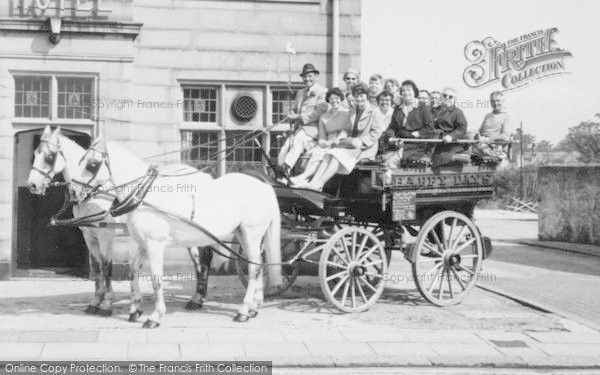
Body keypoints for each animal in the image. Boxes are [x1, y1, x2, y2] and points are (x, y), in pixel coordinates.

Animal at [72, 138, 284, 328]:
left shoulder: (154, 245)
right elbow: (133, 271)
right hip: (244, 234)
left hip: (251, 234)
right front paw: (135, 309)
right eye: (80, 159)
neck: (146, 194)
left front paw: (154, 316)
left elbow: (156, 279)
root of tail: (264, 186)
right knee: (257, 265)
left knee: (253, 269)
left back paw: (243, 311)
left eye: (92, 164)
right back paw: (254, 307)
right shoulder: (143, 243)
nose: (73, 193)